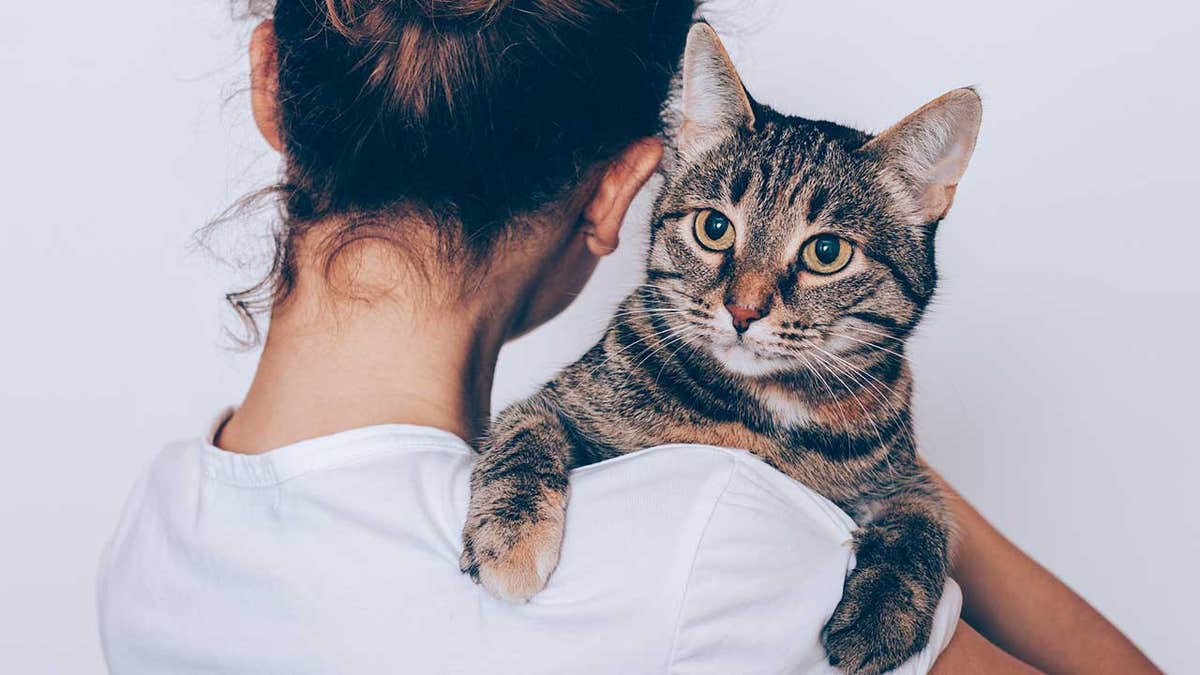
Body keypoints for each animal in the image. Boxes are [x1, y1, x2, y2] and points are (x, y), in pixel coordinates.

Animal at [460, 22, 984, 672]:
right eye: (714, 228)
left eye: (827, 252)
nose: (743, 310)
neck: (764, 414)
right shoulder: (561, 401)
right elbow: (523, 435)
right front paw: (509, 538)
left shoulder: (903, 477)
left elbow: (924, 522)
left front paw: (882, 611)